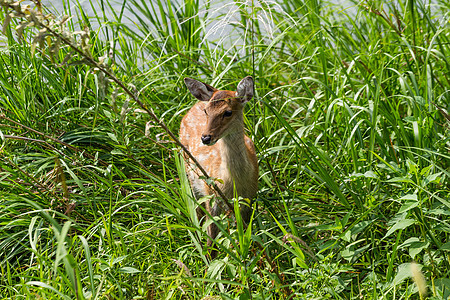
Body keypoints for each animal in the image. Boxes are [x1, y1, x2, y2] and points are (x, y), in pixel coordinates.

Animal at [178, 75, 256, 255]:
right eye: (207, 111)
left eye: (228, 112)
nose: (206, 137)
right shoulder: (212, 195)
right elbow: (211, 241)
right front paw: (208, 260)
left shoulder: (249, 199)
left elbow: (244, 234)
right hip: (189, 173)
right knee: (198, 211)